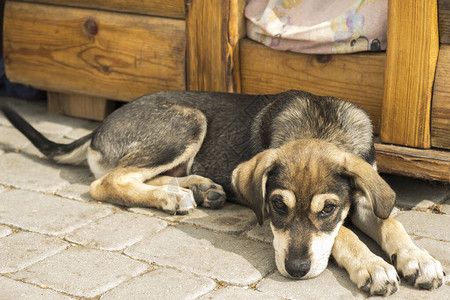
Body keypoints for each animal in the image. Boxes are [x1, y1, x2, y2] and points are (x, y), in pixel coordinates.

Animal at [0, 89, 442, 296]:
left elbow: (390, 223)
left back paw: (200, 188)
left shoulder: (366, 196)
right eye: (277, 206)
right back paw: (174, 196)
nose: (296, 271)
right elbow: (345, 235)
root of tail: (99, 127)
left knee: (137, 176)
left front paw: (419, 260)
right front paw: (374, 267)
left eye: (328, 208)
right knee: (105, 181)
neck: (321, 126)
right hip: (186, 122)